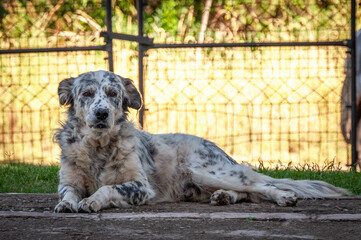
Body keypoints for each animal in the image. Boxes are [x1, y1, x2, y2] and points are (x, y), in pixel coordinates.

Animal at [53, 70, 348, 213]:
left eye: (113, 93)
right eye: (87, 94)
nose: (102, 113)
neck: (98, 147)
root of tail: (217, 148)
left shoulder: (141, 187)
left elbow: (107, 188)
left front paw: (92, 201)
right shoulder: (69, 182)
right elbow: (69, 193)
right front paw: (68, 204)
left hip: (204, 170)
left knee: (261, 186)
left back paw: (284, 197)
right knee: (247, 191)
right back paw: (224, 197)